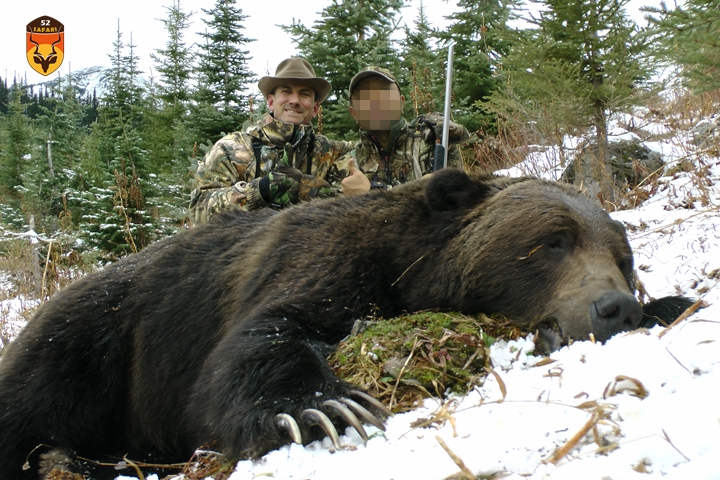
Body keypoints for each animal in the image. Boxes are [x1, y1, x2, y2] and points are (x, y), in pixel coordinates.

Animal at [0, 169, 688, 476]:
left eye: (623, 258)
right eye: (552, 242)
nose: (615, 307)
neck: (408, 264)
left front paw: (673, 304)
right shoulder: (319, 260)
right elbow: (264, 336)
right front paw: (324, 408)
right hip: (99, 337)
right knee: (34, 395)